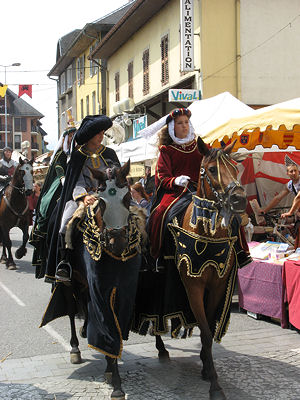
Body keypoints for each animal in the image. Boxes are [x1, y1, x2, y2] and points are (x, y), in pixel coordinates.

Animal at [39, 159, 148, 400]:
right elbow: (106, 325)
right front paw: (116, 383)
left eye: (127, 197)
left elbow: (116, 326)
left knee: (83, 303)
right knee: (72, 310)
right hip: (70, 282)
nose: (117, 241)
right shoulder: (100, 288)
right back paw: (75, 348)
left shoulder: (125, 291)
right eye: (101, 200)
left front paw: (110, 368)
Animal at [134, 138, 248, 400]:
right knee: (156, 315)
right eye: (212, 169)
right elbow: (204, 331)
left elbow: (208, 328)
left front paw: (206, 367)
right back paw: (161, 348)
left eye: (235, 168)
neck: (207, 233)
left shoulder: (217, 285)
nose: (239, 200)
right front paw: (214, 383)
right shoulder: (193, 285)